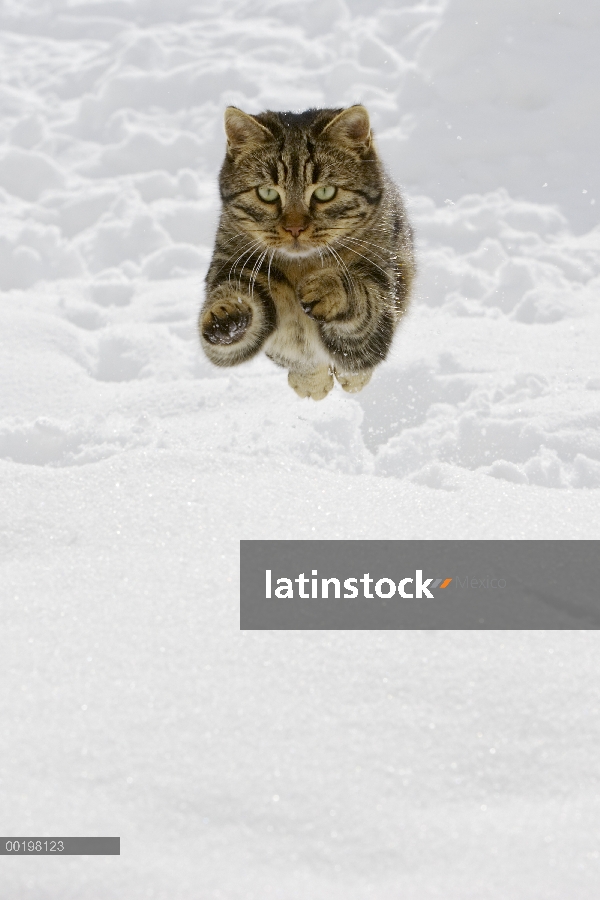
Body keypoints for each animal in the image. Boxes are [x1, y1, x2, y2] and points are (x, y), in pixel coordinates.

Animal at [199, 103, 414, 400]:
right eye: (267, 193)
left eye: (325, 192)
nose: (295, 228)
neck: (302, 266)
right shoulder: (233, 265)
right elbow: (233, 304)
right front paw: (226, 314)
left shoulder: (380, 299)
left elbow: (362, 300)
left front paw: (328, 287)